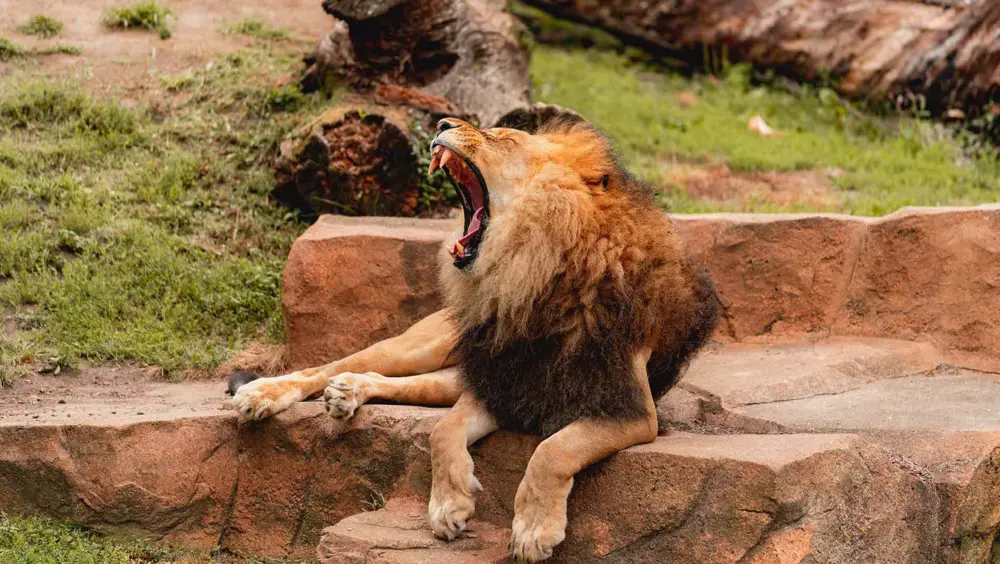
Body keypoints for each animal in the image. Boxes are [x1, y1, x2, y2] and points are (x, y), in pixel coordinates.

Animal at [231, 114, 719, 562]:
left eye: (504, 138)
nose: (442, 122)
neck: (537, 274)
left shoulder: (628, 410)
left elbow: (553, 449)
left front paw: (532, 529)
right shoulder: (496, 384)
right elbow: (443, 432)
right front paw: (450, 505)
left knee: (384, 379)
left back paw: (348, 391)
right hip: (425, 345)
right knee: (334, 364)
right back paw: (262, 393)